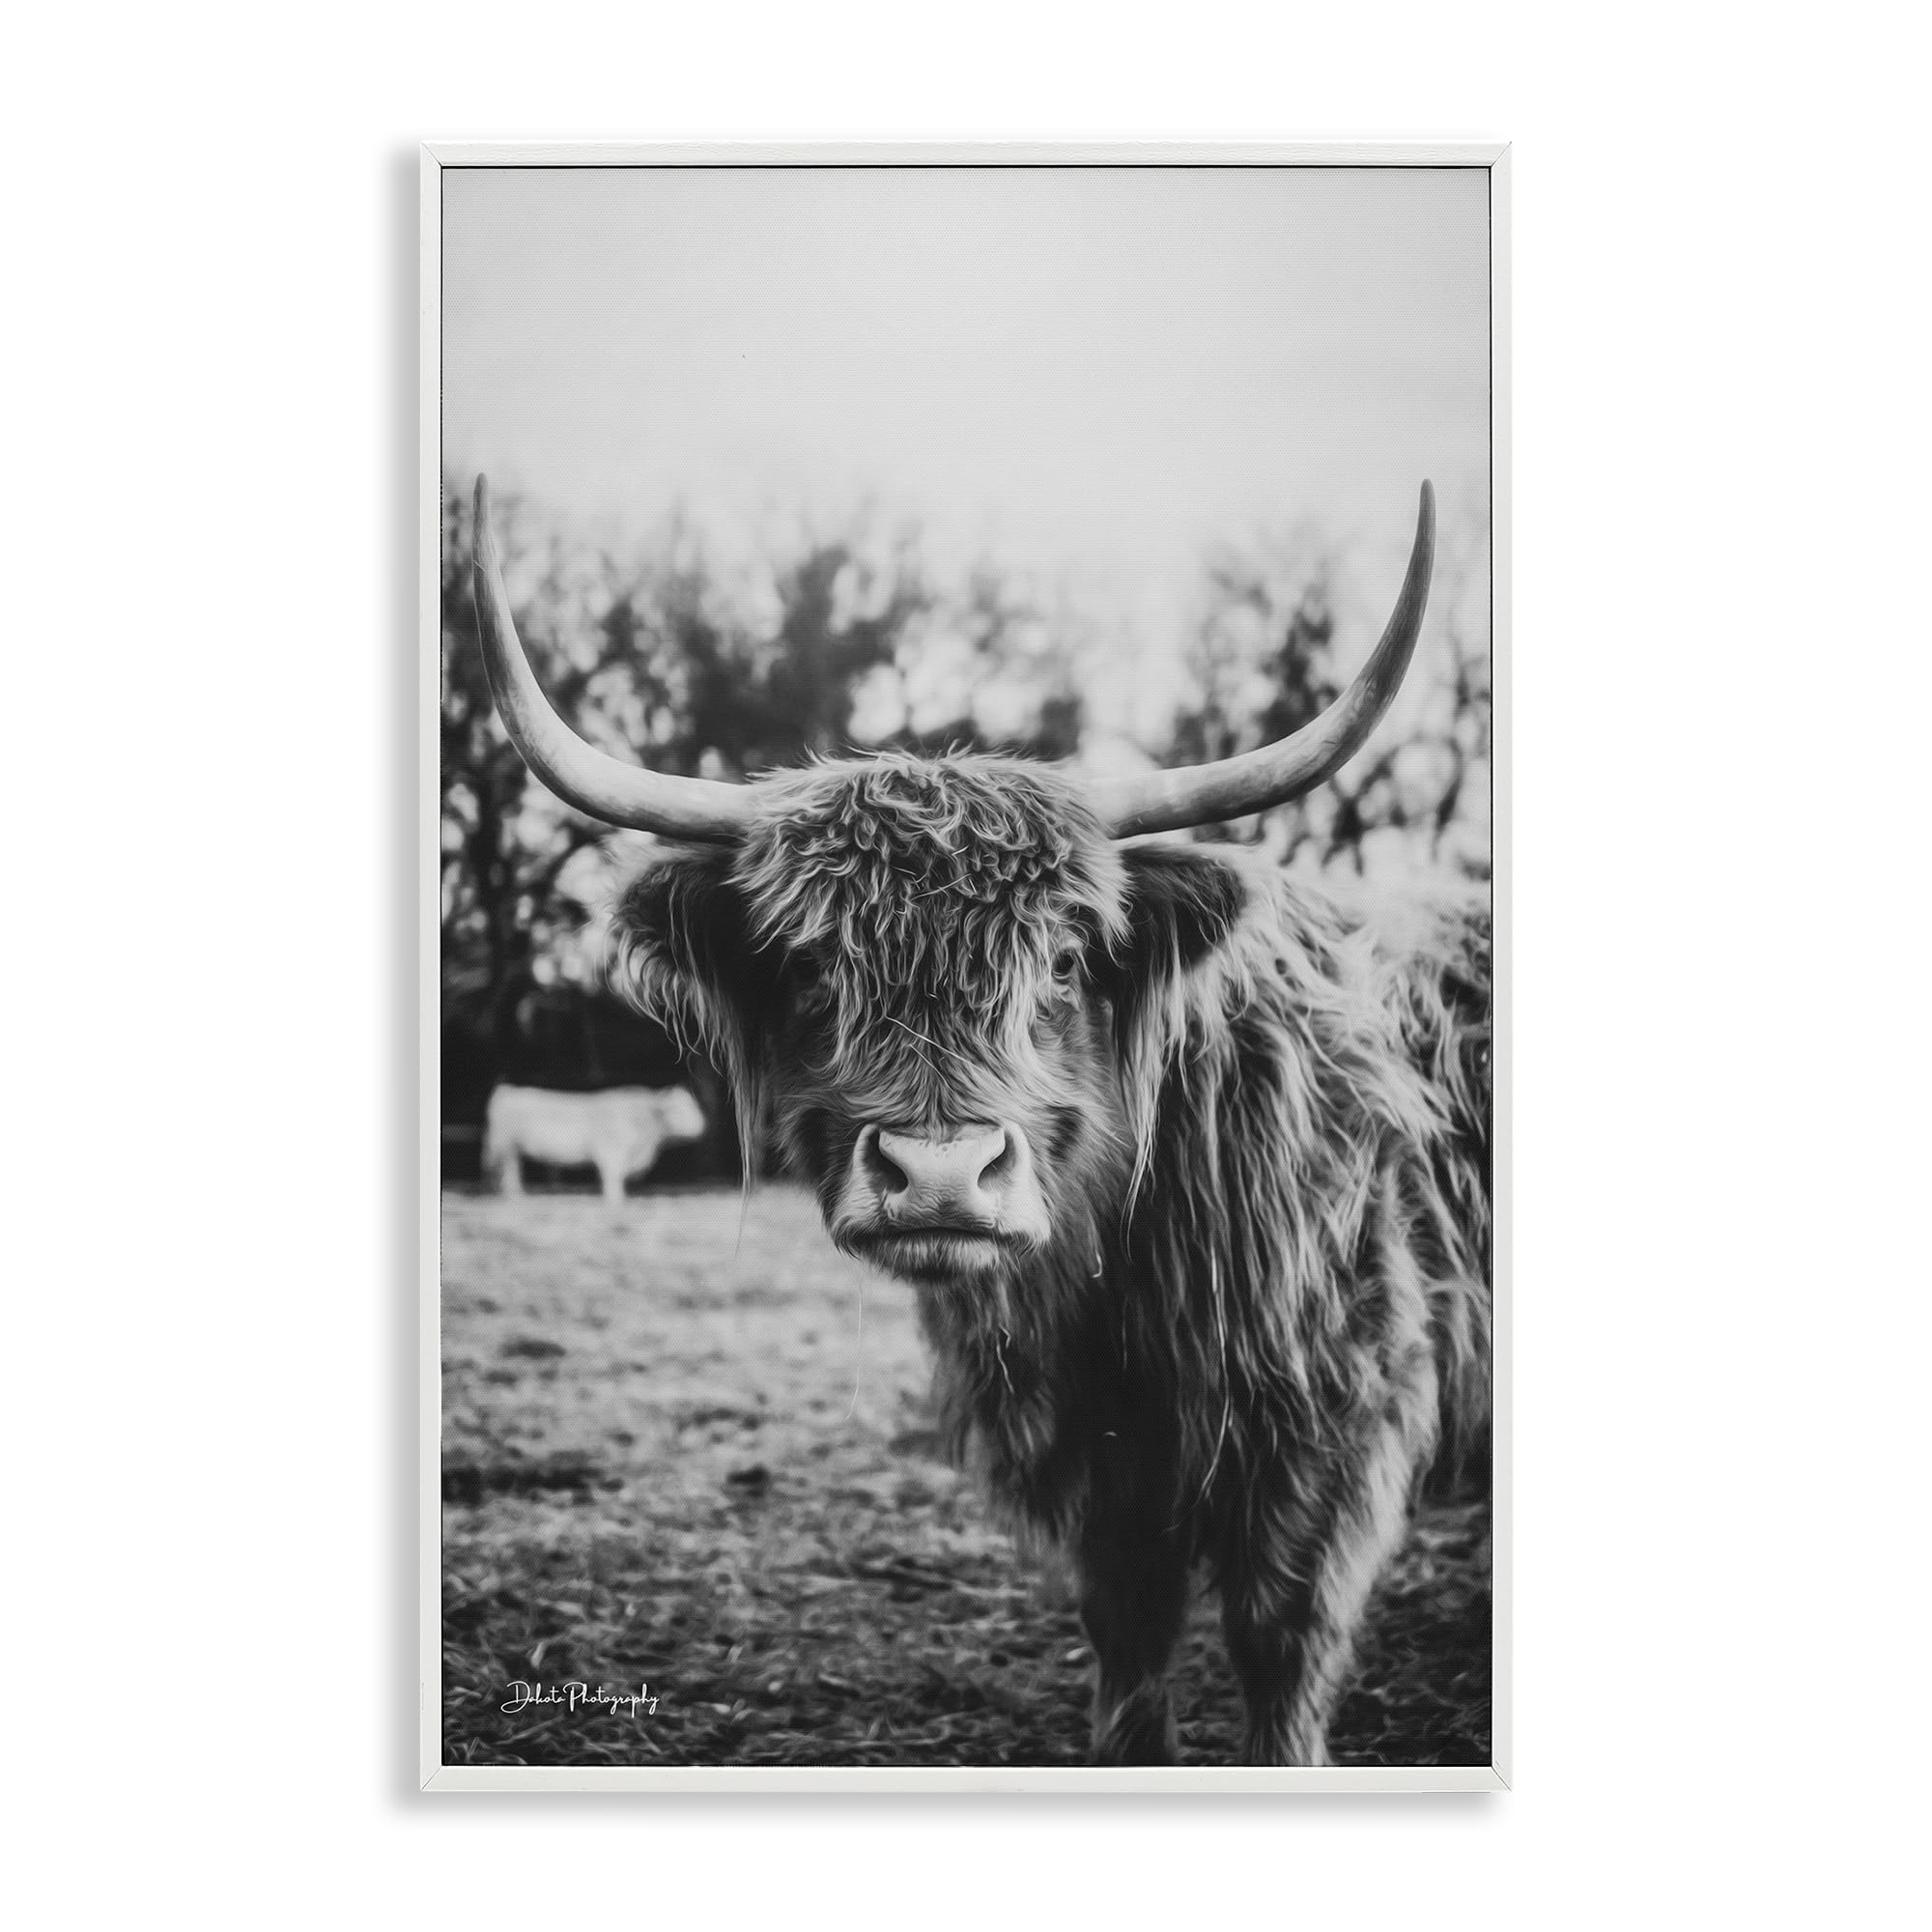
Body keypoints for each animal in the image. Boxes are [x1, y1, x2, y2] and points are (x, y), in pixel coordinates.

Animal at [483, 1083, 707, 1203]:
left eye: (693, 1105)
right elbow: (612, 1178)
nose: (702, 1125)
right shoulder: (611, 1153)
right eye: (677, 1110)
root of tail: (507, 1090)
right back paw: (516, 1196)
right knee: (509, 1171)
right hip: (506, 1146)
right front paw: (616, 1200)